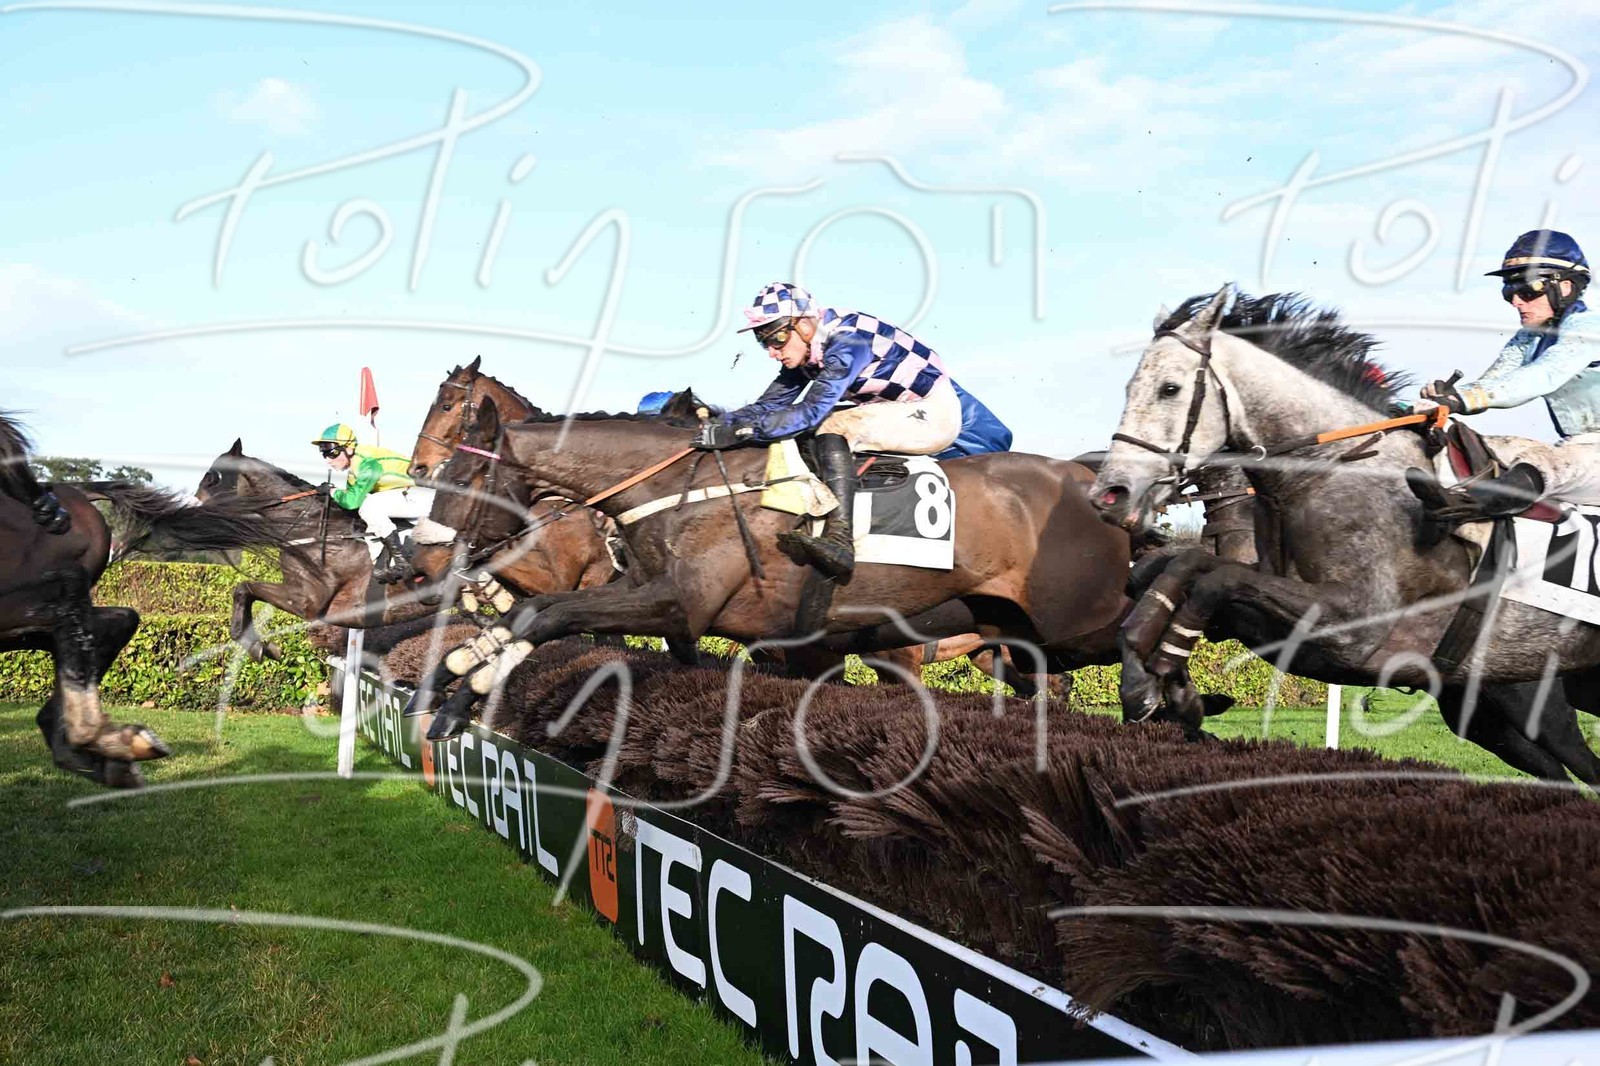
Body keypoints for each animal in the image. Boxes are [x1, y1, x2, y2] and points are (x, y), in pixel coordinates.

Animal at [404, 394, 1130, 734]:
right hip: (1002, 631)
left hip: (1078, 619)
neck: (678, 486)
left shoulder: (680, 605)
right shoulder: (641, 587)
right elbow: (537, 611)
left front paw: (459, 687)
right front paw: (453, 680)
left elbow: (547, 613)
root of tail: (1086, 479)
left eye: (461, 479)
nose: (419, 550)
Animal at [1089, 286, 1600, 786]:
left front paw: (1169, 678)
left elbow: (1214, 579)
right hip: (1486, 713)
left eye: (1169, 388)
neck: (1333, 472)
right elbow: (1177, 568)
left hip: (1536, 705)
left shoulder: (1352, 627)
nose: (1109, 492)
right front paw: (1149, 678)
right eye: (1129, 388)